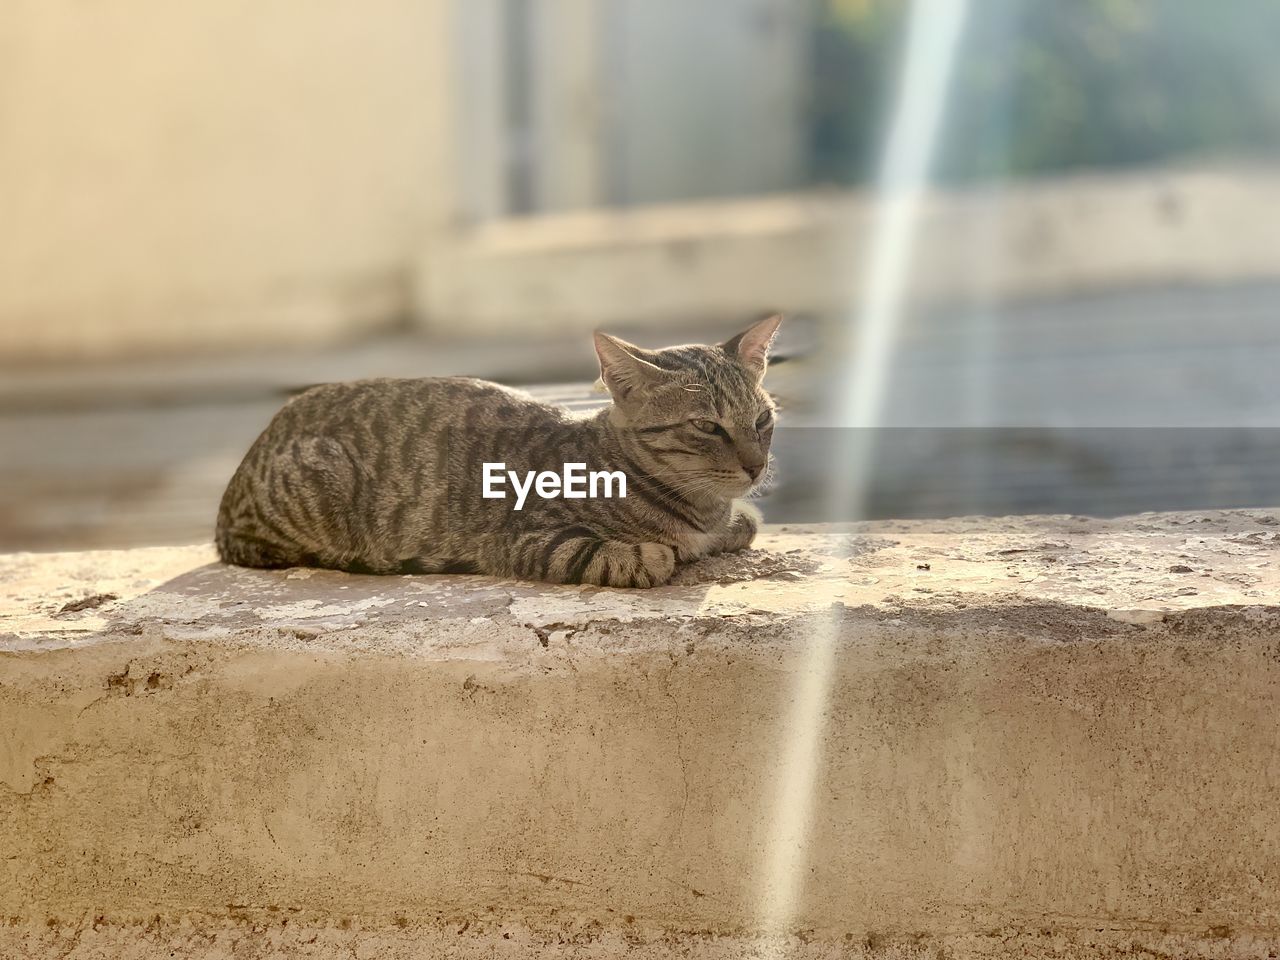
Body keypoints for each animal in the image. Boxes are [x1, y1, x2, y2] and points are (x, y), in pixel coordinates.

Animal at [216, 317, 778, 586]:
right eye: (706, 426)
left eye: (762, 420)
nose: (755, 466)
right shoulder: (524, 539)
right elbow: (623, 555)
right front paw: (660, 552)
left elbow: (744, 524)